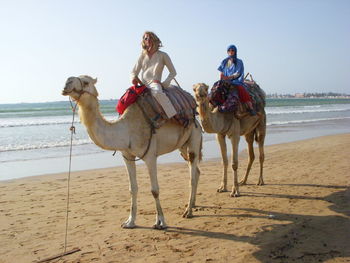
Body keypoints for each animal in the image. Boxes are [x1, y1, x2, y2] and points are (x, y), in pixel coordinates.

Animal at [61, 76, 201, 229]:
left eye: (86, 82)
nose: (67, 82)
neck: (126, 130)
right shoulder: (127, 156)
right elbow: (132, 188)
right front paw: (130, 222)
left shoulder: (150, 156)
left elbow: (154, 190)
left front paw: (161, 222)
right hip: (182, 146)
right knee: (196, 171)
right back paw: (192, 205)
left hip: (194, 137)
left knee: (192, 175)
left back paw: (188, 212)